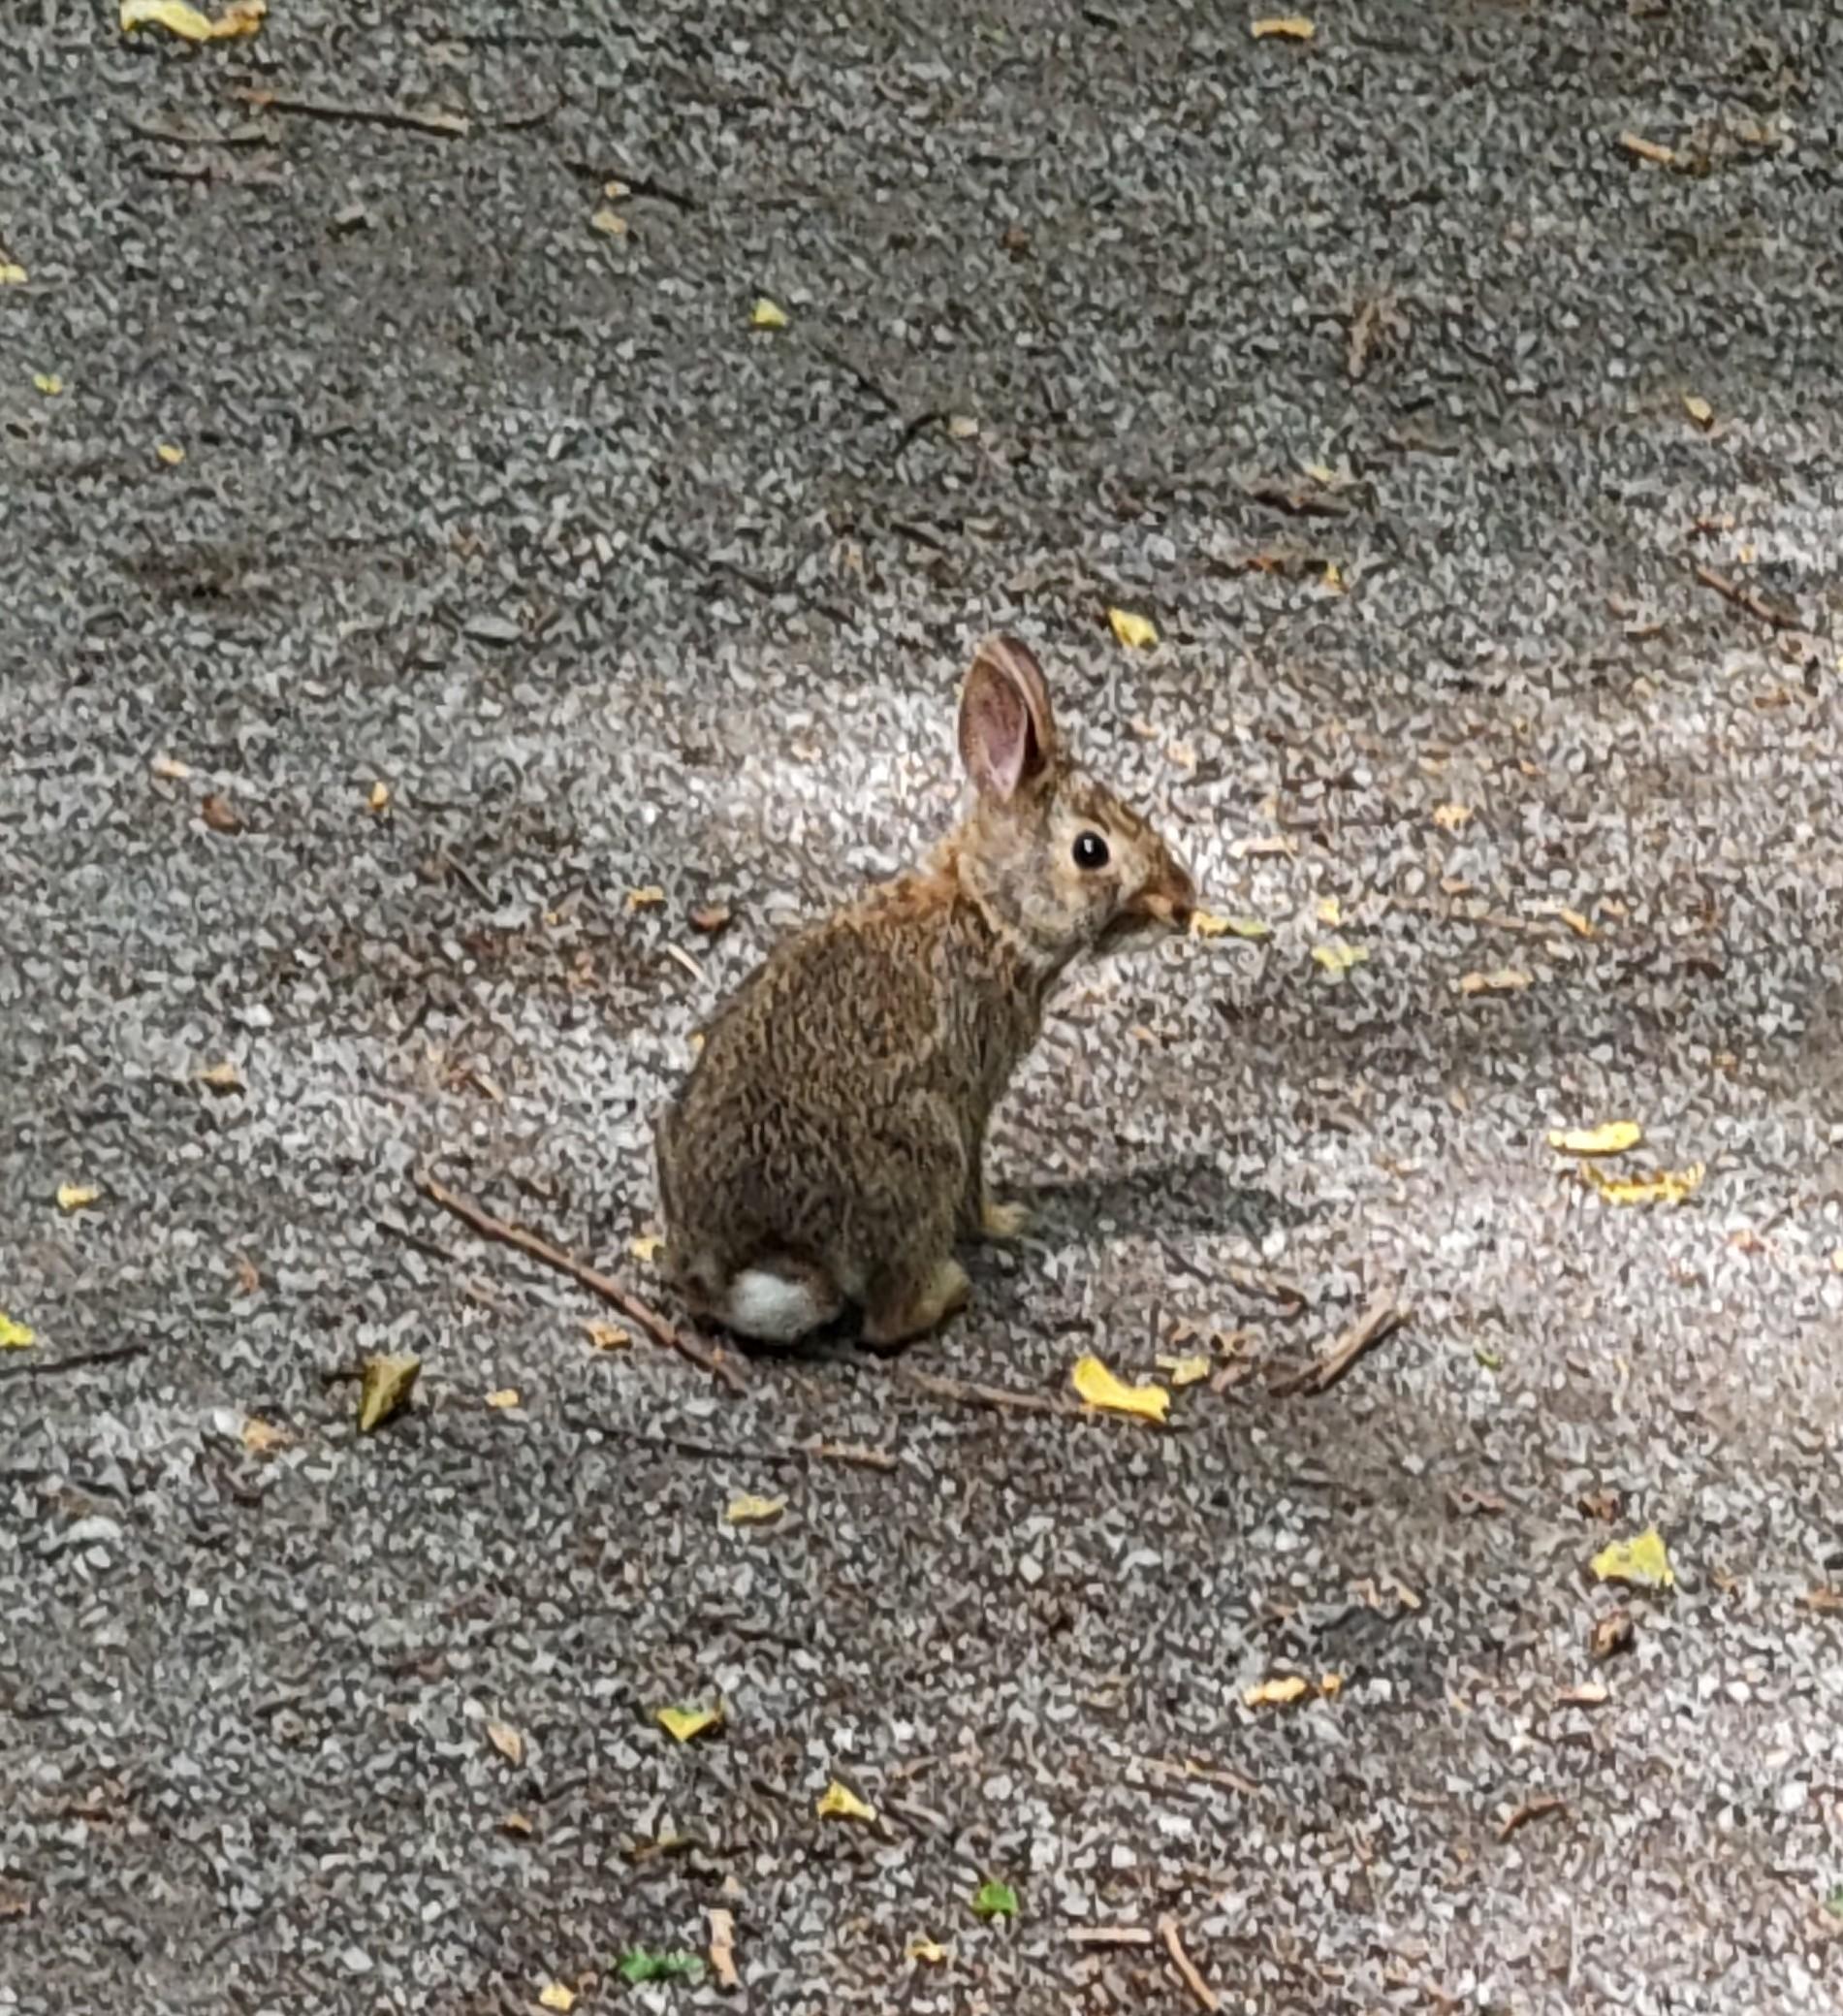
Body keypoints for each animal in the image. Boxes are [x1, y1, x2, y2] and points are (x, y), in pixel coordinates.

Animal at [655, 634, 1195, 1349]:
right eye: (1090, 850)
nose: (1183, 903)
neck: (987, 913)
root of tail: (744, 1267)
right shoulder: (973, 1093)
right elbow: (975, 1177)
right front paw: (1004, 1219)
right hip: (919, 1158)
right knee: (885, 1321)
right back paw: (952, 1290)